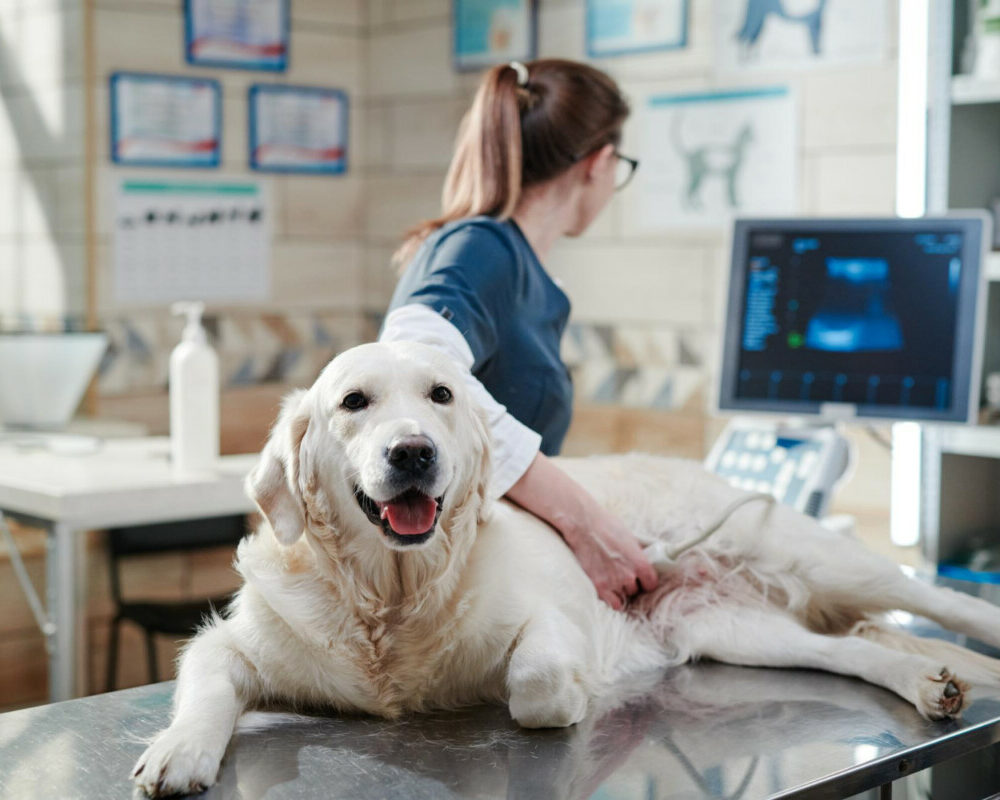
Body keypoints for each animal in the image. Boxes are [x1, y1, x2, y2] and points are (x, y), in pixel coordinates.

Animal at [131, 340, 1000, 796]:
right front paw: (180, 750)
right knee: (851, 650)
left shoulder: (555, 619)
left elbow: (537, 681)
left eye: (442, 395)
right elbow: (207, 686)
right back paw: (927, 682)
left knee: (928, 597)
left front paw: (574, 693)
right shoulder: (227, 643)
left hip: (814, 555)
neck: (392, 596)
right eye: (354, 403)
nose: (413, 452)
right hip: (738, 630)